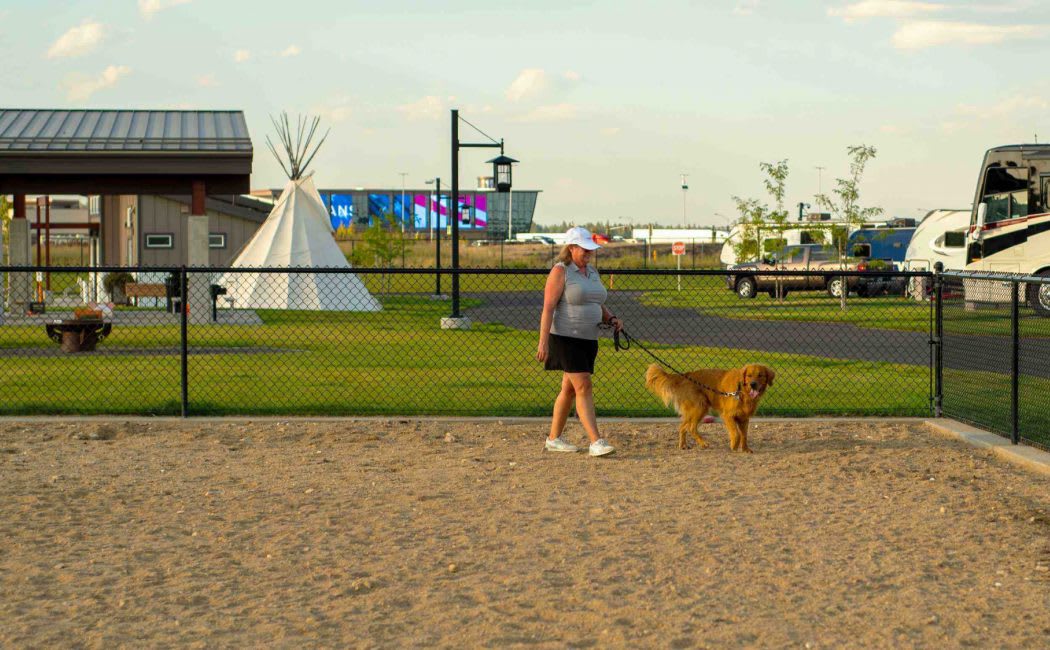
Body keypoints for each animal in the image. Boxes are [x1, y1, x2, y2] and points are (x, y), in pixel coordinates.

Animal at [642, 363, 776, 455]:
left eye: (760, 375)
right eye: (749, 375)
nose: (753, 384)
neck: (742, 392)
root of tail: (686, 375)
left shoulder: (744, 418)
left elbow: (744, 435)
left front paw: (745, 449)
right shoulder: (728, 415)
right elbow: (736, 433)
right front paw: (734, 445)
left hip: (694, 410)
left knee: (683, 427)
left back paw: (683, 445)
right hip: (700, 406)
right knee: (691, 427)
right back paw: (703, 443)